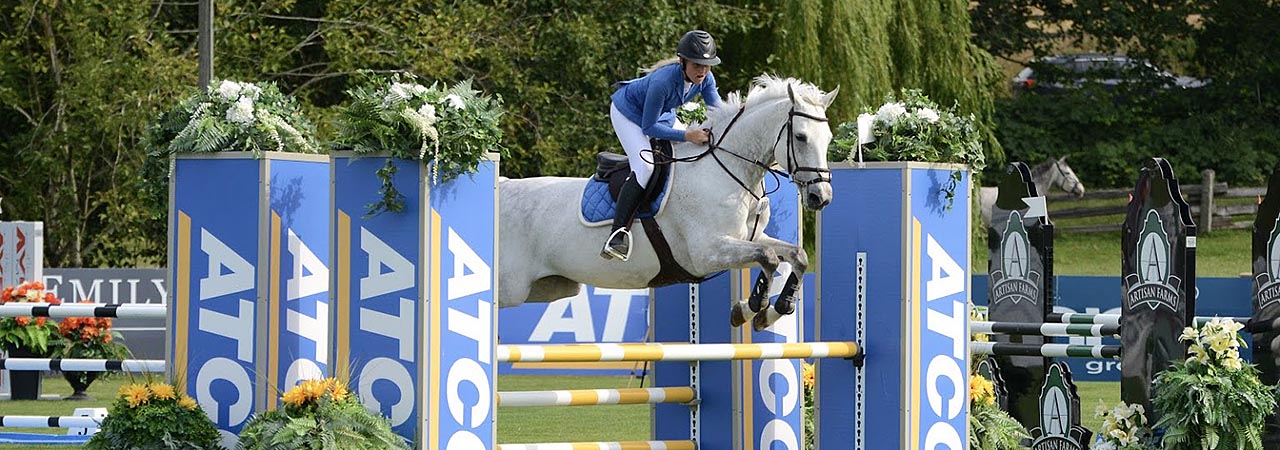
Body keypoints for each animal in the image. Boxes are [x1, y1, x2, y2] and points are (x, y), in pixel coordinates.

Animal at [491, 75, 839, 329]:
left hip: (549, 287)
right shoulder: (707, 252)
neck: (727, 170)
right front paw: (754, 306)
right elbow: (768, 257)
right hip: (511, 287)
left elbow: (794, 255)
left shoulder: (747, 238)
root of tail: (503, 187)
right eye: (801, 137)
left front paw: (771, 310)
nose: (820, 197)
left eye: (829, 139)